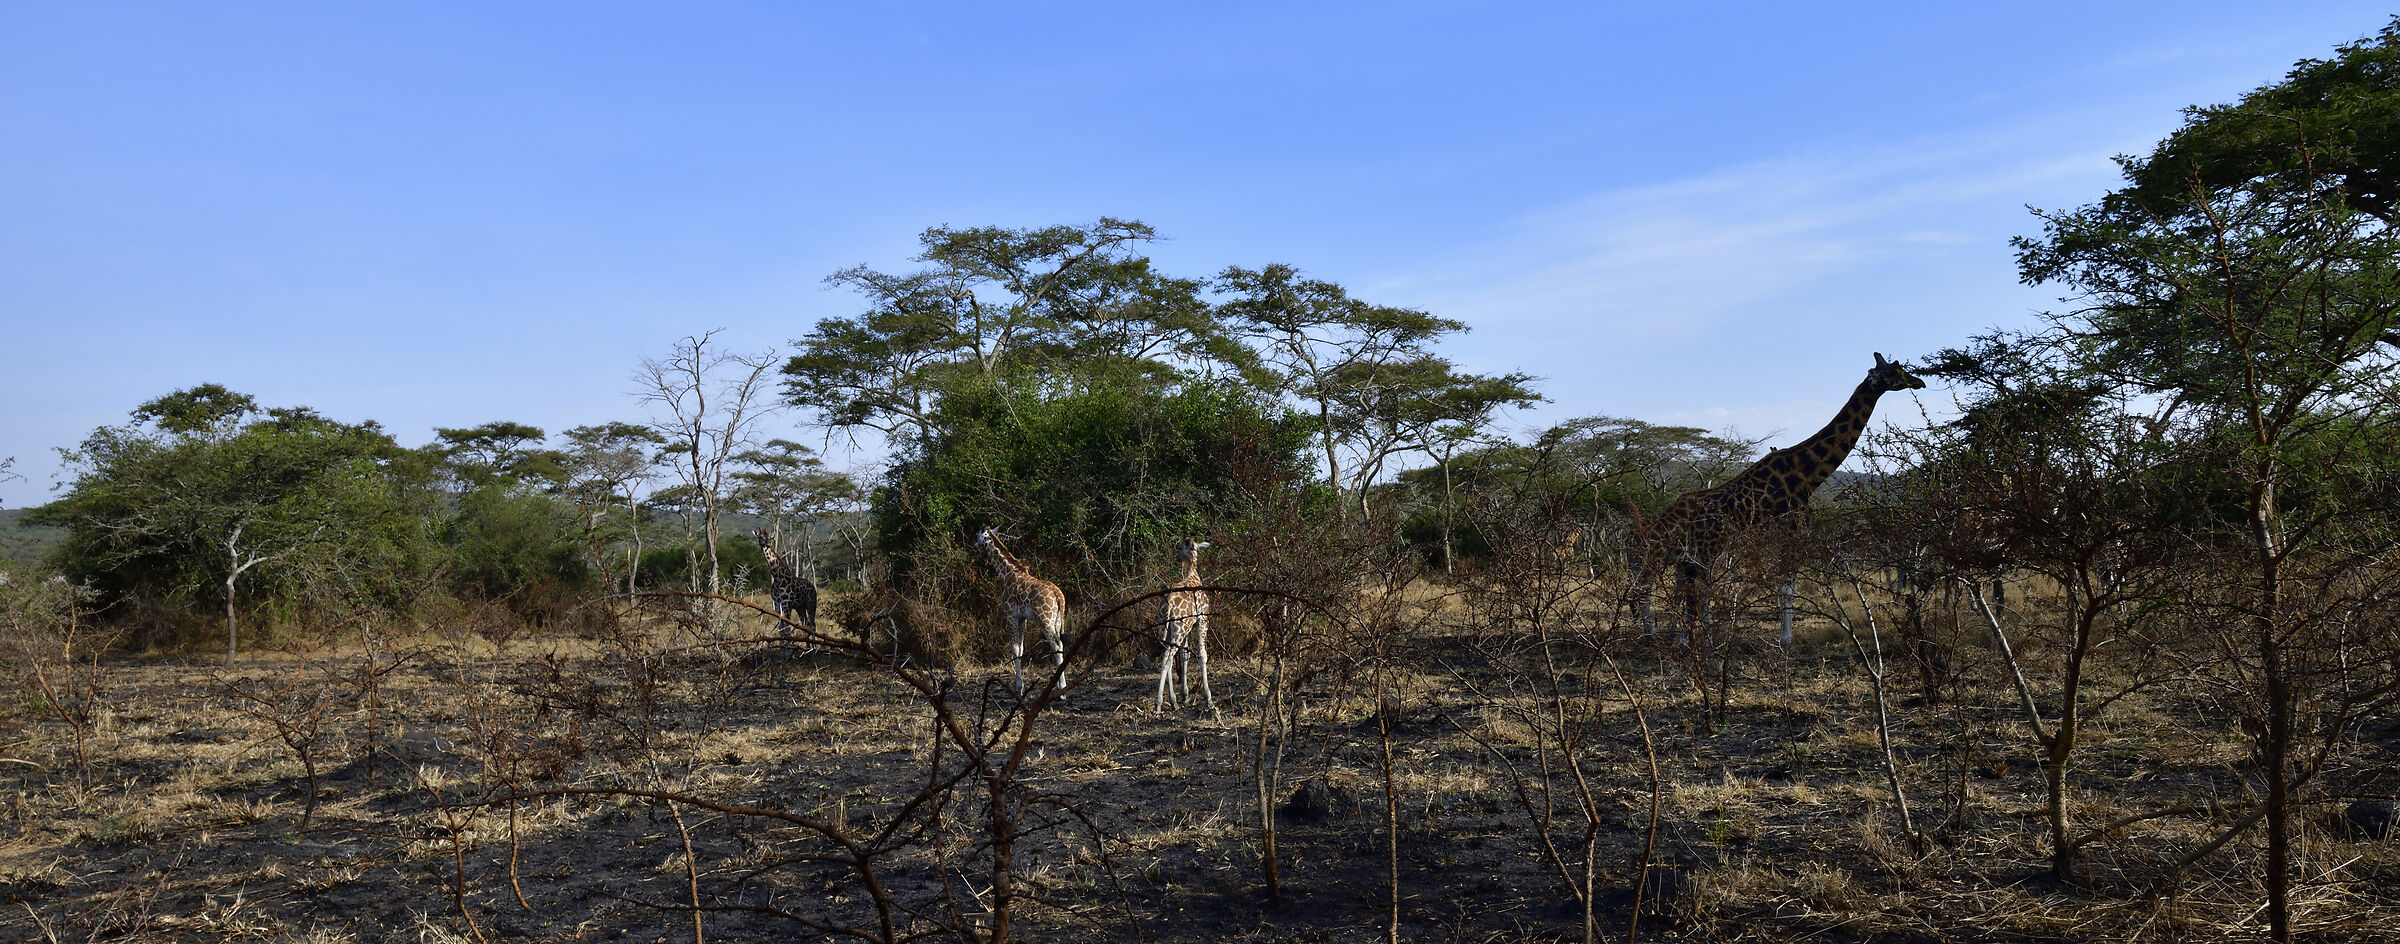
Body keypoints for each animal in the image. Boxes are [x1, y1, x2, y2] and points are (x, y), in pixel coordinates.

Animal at [974, 525, 1068, 698]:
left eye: (977, 535)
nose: (975, 544)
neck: (1006, 573)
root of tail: (1058, 595)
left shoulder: (1010, 614)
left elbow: (1014, 648)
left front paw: (1019, 688)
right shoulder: (1022, 618)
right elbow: (1022, 648)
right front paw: (1021, 686)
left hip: (1044, 619)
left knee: (1056, 644)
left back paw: (1061, 690)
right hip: (1057, 620)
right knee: (1060, 644)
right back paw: (1060, 686)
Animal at [1154, 538, 1213, 713]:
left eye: (1179, 548)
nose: (1178, 558)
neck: (1193, 574)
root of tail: (1168, 606)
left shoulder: (1188, 627)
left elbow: (1184, 656)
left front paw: (1185, 695)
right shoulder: (1202, 619)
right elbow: (1202, 655)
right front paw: (1208, 698)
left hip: (1169, 627)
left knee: (1166, 656)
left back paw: (1172, 702)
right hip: (1180, 629)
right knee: (1167, 658)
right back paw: (1158, 704)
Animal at [1646, 353, 1926, 644]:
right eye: (1895, 371)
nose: (1920, 382)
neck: (1807, 474)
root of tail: (1696, 518)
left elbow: (1785, 586)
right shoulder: (1793, 529)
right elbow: (1787, 587)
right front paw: (1785, 640)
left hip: (1705, 547)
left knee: (1694, 584)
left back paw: (1696, 639)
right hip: (1707, 546)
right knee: (1694, 585)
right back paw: (1694, 641)